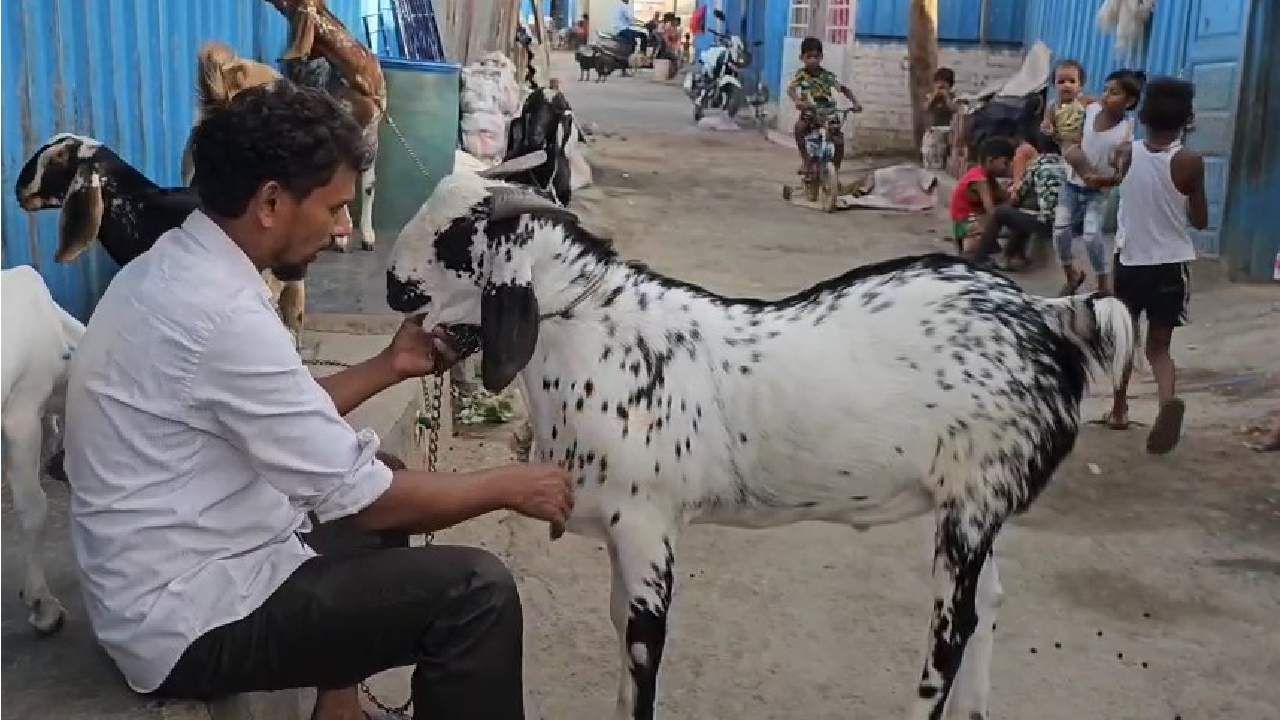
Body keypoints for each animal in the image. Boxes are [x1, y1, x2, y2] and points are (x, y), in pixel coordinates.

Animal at [384, 169, 1136, 717]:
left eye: (458, 235)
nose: (394, 285)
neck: (599, 337)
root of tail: (1045, 314)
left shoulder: (649, 527)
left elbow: (641, 656)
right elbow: (619, 644)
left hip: (971, 508)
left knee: (950, 633)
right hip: (978, 503)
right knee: (988, 608)